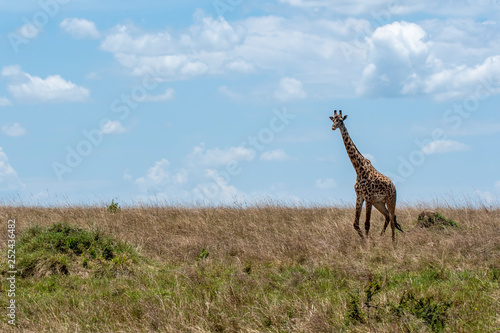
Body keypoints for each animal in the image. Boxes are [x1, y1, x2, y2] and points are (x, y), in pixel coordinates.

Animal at [330, 110, 404, 240]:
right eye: (333, 119)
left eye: (341, 120)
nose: (333, 127)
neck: (359, 170)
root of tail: (394, 186)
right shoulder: (360, 196)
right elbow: (355, 224)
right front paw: (364, 240)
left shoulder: (368, 197)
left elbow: (367, 224)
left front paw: (367, 242)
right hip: (379, 203)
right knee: (388, 217)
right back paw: (380, 238)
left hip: (391, 200)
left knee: (392, 220)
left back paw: (393, 242)